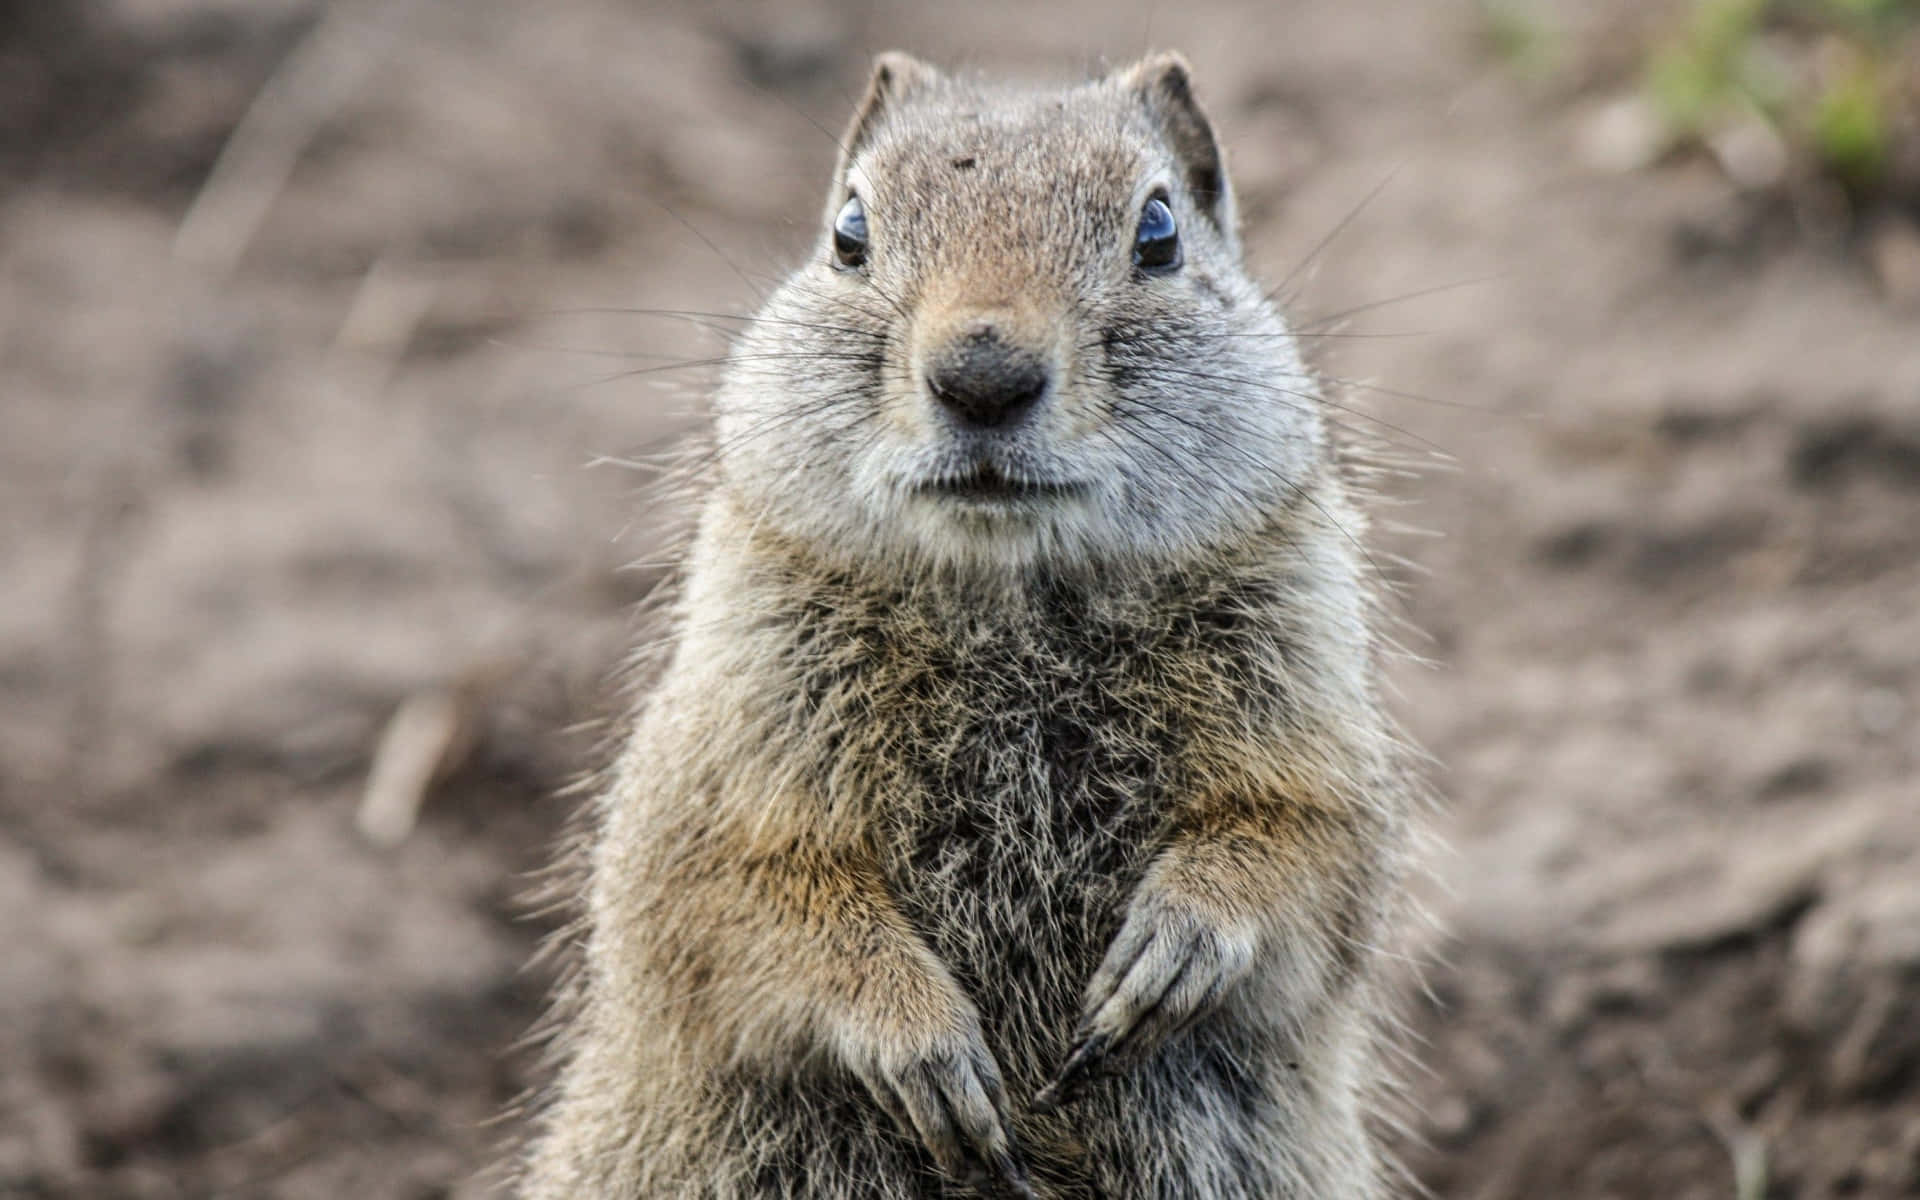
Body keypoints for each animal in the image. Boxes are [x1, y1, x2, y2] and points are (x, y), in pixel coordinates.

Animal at [518, 49, 1420, 1198]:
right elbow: (734, 894)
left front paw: (1165, 958)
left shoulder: (1308, 686)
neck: (1011, 610)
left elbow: (1313, 842)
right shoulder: (729, 727)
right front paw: (930, 1055)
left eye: (1159, 231)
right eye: (848, 233)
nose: (982, 376)